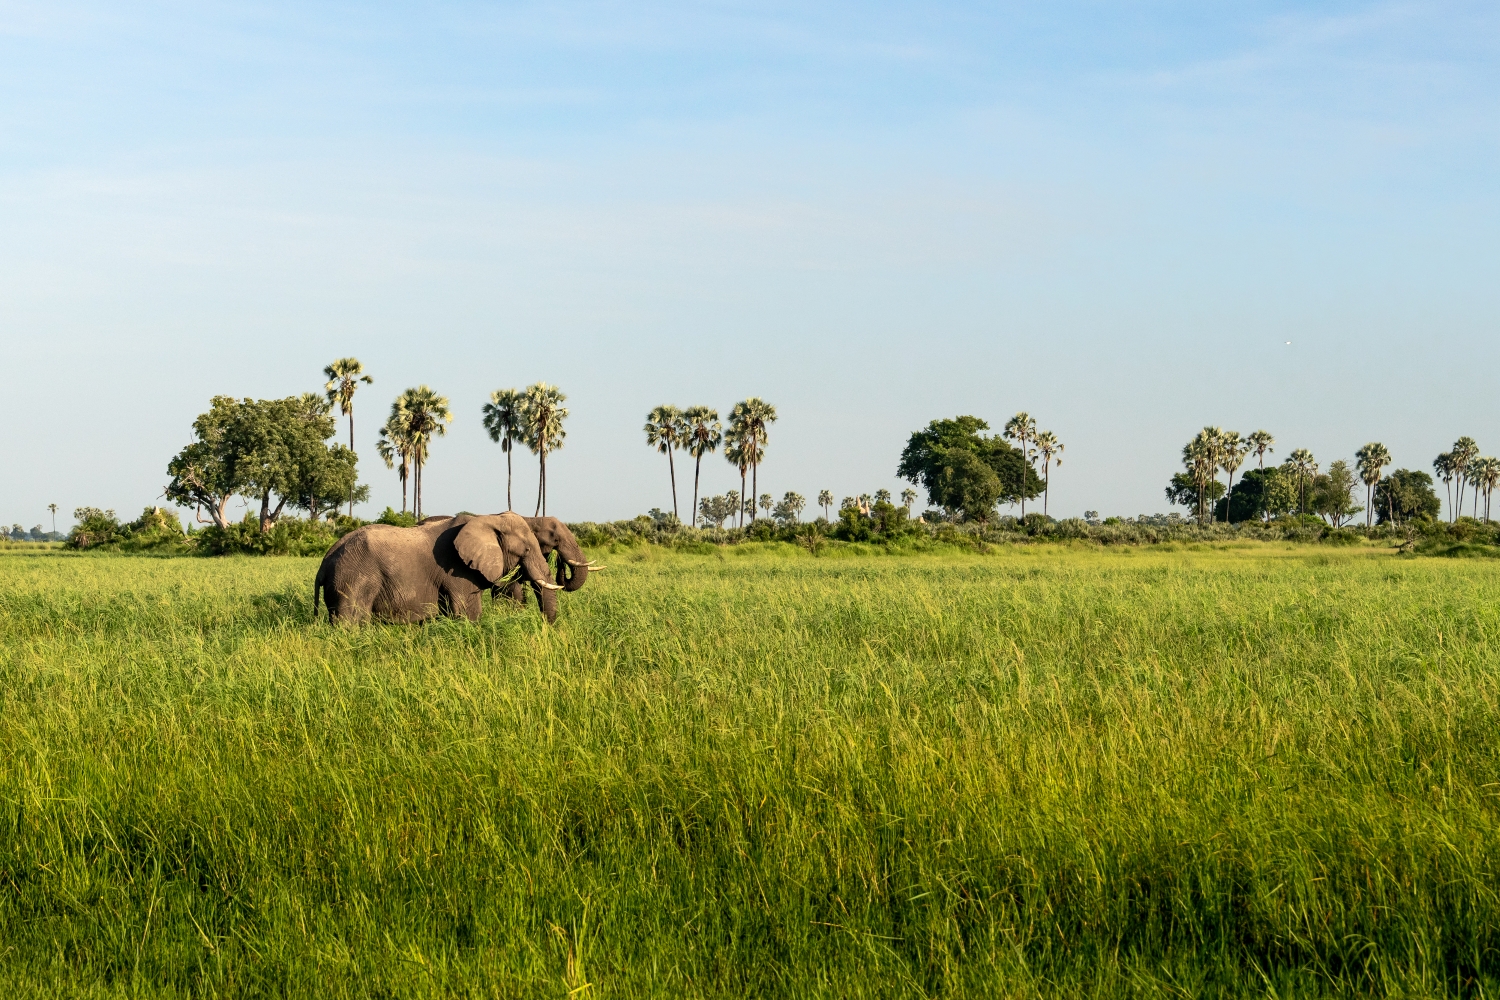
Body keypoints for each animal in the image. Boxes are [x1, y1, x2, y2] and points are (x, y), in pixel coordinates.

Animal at [314, 513, 563, 624]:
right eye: (527, 550)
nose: (546, 627)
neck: (489, 518)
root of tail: (325, 561)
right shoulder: (457, 570)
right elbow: (468, 613)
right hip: (352, 579)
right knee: (350, 623)